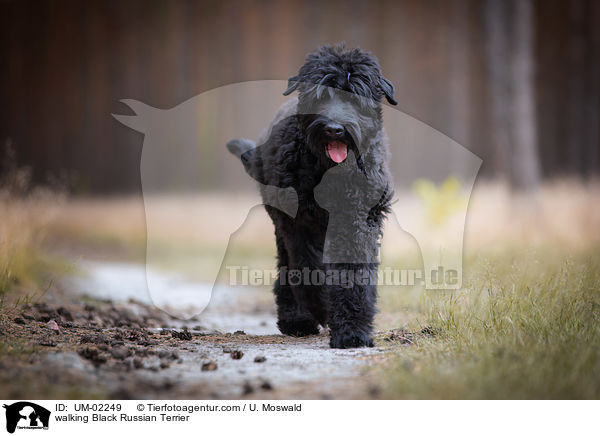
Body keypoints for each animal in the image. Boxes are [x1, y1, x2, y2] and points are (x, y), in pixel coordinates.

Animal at [227, 44, 396, 350]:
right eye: (320, 95)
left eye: (356, 94)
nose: (335, 128)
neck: (326, 170)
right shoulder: (298, 224)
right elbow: (306, 269)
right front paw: (321, 308)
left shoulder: (357, 221)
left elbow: (353, 272)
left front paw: (352, 332)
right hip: (283, 225)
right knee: (287, 267)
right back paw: (297, 319)